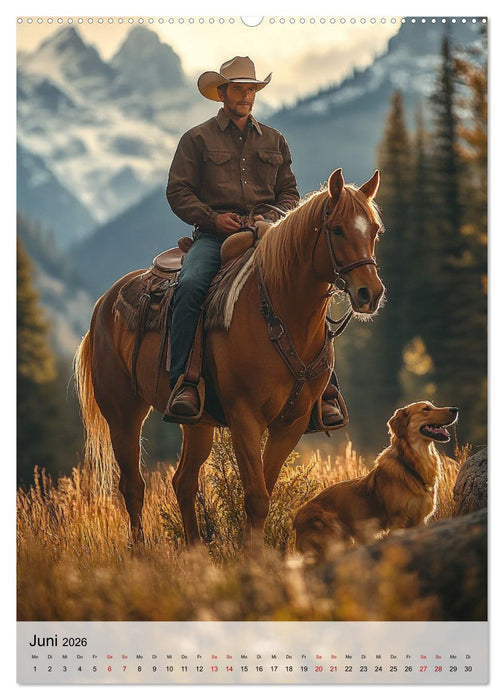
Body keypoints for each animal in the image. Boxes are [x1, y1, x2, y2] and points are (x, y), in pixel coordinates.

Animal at [74, 168, 385, 552]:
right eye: (338, 229)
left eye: (374, 231)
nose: (370, 294)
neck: (280, 311)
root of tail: (105, 302)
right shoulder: (245, 416)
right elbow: (256, 496)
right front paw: (253, 558)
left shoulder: (291, 424)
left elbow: (264, 489)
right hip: (123, 414)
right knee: (133, 487)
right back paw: (143, 554)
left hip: (197, 421)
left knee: (183, 482)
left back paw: (196, 551)